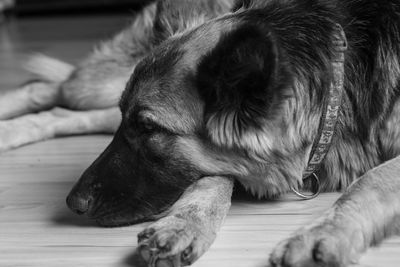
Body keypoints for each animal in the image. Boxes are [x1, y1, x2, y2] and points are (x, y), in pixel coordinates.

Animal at [0, 0, 400, 267]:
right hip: (97, 87)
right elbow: (212, 177)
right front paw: (185, 223)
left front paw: (322, 233)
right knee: (48, 90)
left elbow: (370, 181)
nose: (74, 203)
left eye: (148, 128)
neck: (337, 79)